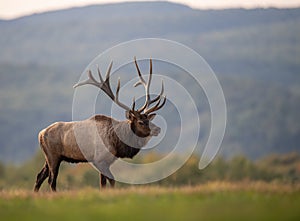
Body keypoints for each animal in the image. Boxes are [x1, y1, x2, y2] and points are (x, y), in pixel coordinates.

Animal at [35, 57, 168, 191]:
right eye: (141, 122)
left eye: (149, 120)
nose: (158, 129)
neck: (117, 143)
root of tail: (41, 133)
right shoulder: (99, 160)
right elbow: (109, 181)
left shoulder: (106, 162)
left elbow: (106, 182)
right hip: (53, 156)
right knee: (51, 180)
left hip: (48, 157)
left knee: (40, 176)